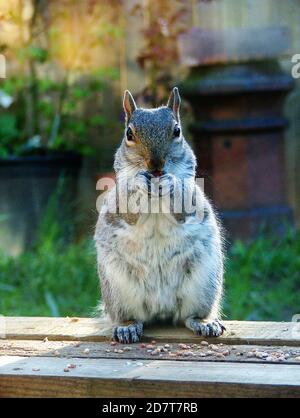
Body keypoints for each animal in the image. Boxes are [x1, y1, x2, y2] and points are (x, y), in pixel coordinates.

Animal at [94, 86, 225, 342]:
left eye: (177, 131)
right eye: (129, 134)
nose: (155, 165)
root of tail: (161, 308)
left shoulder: (191, 196)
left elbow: (184, 206)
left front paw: (171, 182)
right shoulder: (118, 199)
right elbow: (128, 210)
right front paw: (138, 183)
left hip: (204, 284)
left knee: (189, 316)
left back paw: (204, 322)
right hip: (118, 289)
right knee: (130, 316)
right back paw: (126, 326)